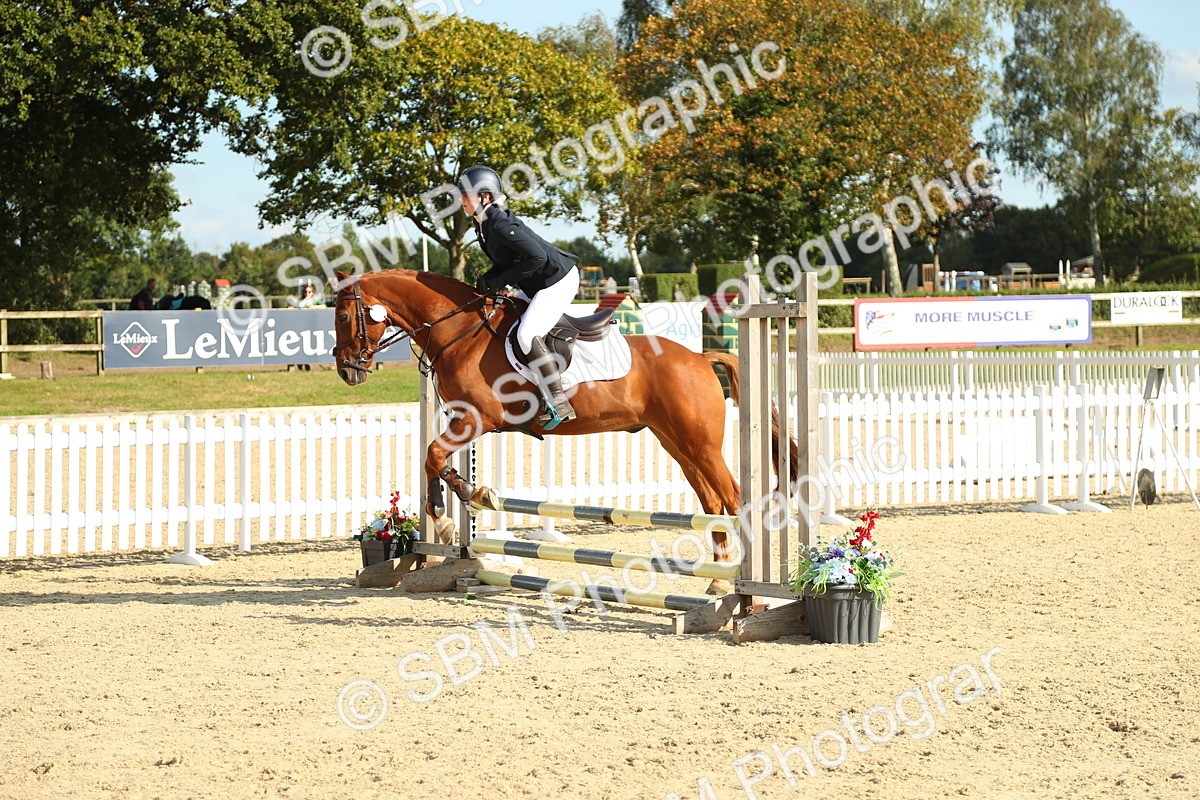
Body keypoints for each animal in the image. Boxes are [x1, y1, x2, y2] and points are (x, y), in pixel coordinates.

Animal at [331, 268, 795, 593]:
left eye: (344, 315)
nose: (347, 370)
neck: (460, 332)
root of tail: (700, 358)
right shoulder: (464, 421)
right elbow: (433, 459)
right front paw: (456, 511)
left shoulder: (479, 418)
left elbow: (432, 454)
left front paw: (465, 503)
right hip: (678, 445)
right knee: (713, 503)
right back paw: (716, 579)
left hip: (699, 445)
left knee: (733, 498)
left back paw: (743, 587)